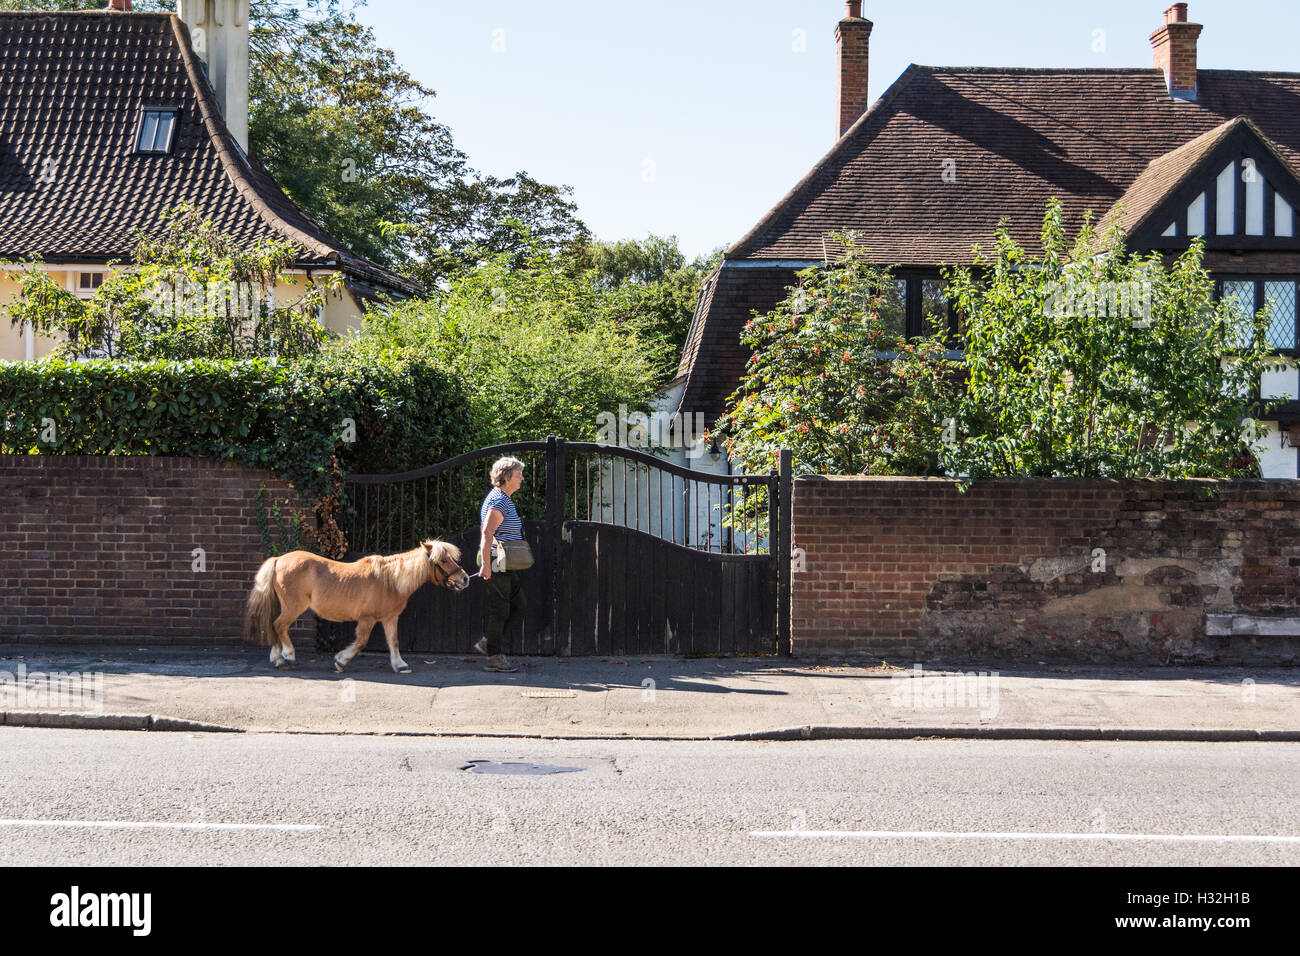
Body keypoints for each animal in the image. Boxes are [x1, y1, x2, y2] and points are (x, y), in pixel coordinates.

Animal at [245, 541, 470, 676]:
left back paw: (278, 658)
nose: (465, 579)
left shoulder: (390, 618)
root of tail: (278, 560)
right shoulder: (367, 619)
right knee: (279, 626)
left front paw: (400, 665)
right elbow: (361, 642)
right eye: (443, 560)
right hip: (293, 607)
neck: (390, 580)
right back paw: (288, 656)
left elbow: (394, 642)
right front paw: (340, 661)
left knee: (274, 626)